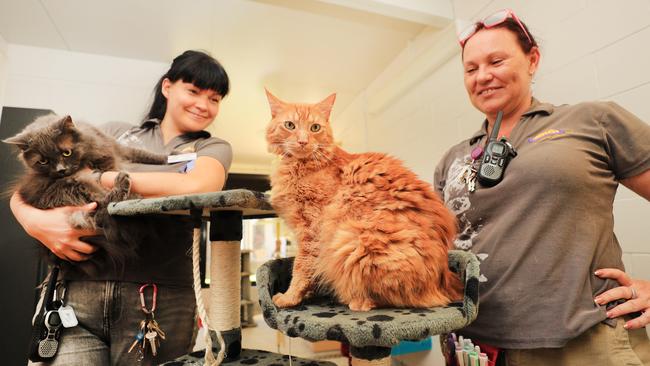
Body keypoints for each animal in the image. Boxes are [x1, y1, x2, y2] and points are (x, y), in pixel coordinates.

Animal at [3, 114, 166, 274]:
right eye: (43, 161)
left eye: (66, 153)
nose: (61, 170)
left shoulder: (112, 147)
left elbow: (140, 153)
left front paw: (166, 157)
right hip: (68, 188)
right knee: (103, 209)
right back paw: (127, 188)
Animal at [264, 90, 460, 310]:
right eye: (290, 125)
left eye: (315, 128)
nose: (303, 141)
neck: (301, 165)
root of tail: (445, 277)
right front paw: (306, 294)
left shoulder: (312, 229)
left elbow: (301, 267)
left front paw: (290, 297)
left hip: (352, 240)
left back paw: (356, 301)